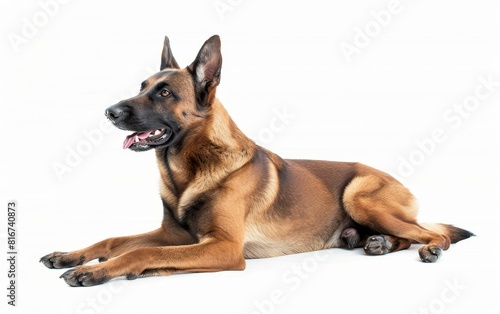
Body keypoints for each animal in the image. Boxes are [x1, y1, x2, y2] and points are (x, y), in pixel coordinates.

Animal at [40, 35, 472, 288]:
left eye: (164, 93)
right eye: (142, 87)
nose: (109, 111)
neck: (188, 171)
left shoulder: (224, 247)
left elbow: (141, 253)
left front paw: (98, 270)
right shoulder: (173, 235)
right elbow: (113, 240)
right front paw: (72, 254)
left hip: (360, 196)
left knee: (431, 233)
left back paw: (428, 248)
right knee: (408, 233)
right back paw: (377, 243)